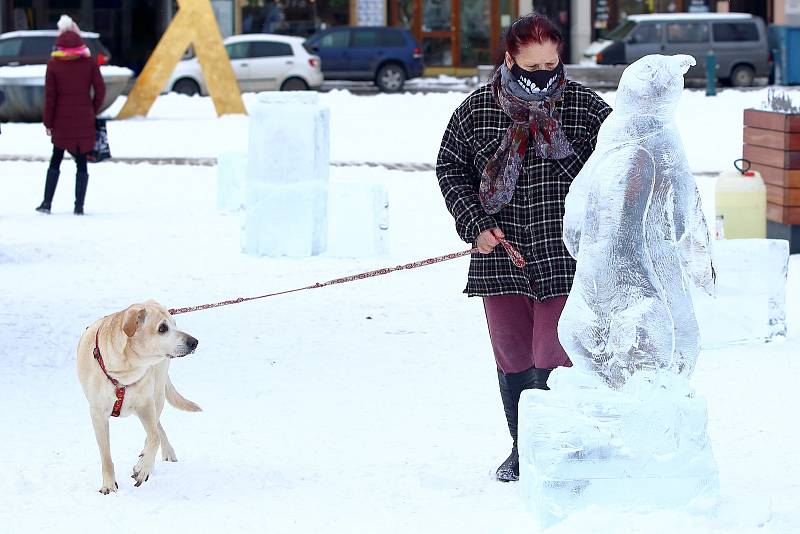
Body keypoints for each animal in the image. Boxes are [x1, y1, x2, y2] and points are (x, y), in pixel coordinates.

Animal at [77, 302, 202, 494]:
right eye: (162, 328)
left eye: (175, 323)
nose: (194, 342)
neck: (124, 373)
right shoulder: (97, 414)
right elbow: (106, 454)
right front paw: (109, 485)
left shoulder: (145, 404)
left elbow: (153, 437)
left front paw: (142, 468)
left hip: (157, 393)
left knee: (155, 427)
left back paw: (147, 461)